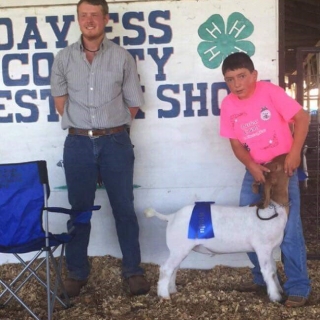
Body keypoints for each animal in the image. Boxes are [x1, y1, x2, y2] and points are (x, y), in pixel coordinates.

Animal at [145, 154, 290, 302]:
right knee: (166, 268)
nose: (286, 155)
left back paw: (173, 290)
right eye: (277, 166)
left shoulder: (270, 249)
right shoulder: (262, 247)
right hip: (179, 247)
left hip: (178, 249)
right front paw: (275, 296)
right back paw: (164, 295)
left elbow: (274, 269)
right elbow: (268, 271)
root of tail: (171, 216)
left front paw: (279, 290)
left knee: (174, 268)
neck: (274, 210)